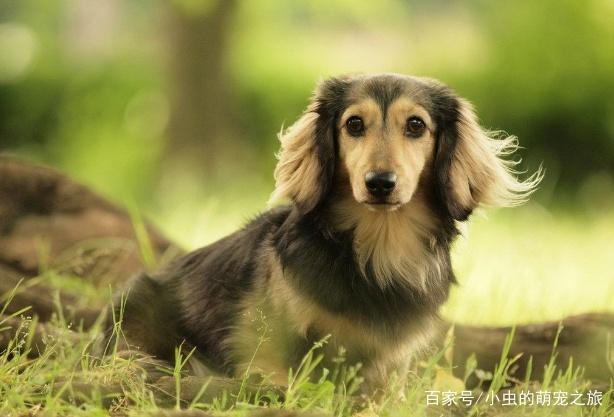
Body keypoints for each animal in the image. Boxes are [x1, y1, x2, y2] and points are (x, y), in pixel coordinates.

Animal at [108, 73, 540, 392]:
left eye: (416, 125)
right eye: (354, 124)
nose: (379, 183)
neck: (378, 251)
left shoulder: (391, 367)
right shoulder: (264, 348)